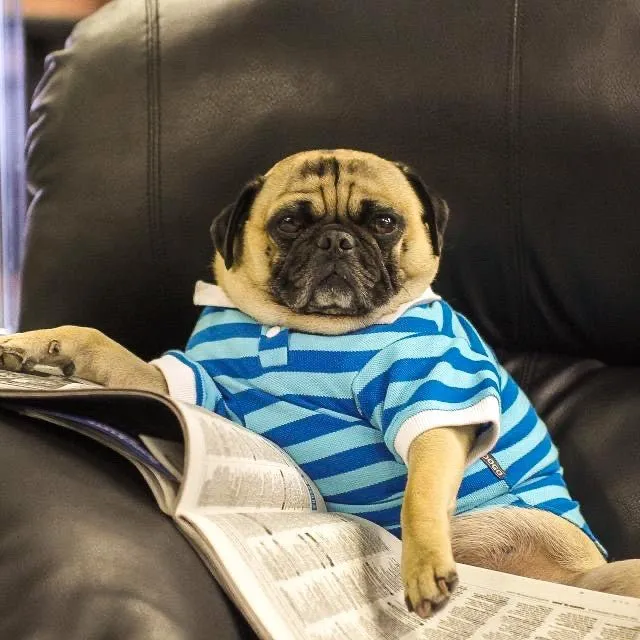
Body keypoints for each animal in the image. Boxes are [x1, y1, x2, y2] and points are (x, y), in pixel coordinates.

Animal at [1, 148, 640, 616]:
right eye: (289, 224)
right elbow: (104, 347)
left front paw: (420, 564)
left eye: (384, 222)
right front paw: (41, 346)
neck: (302, 328)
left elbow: (420, 494)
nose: (335, 239)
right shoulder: (193, 387)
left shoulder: (431, 395)